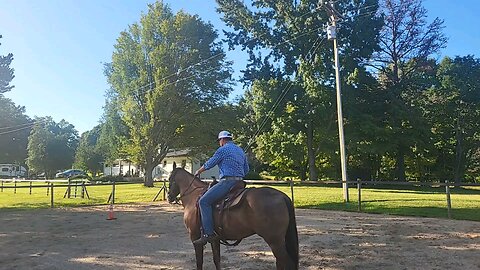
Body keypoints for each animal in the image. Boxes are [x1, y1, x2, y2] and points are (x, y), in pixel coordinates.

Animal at [167, 168, 298, 268]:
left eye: (170, 180)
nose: (169, 197)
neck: (194, 196)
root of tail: (282, 196)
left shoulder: (195, 237)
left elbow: (199, 262)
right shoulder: (214, 239)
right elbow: (217, 260)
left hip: (274, 241)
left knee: (285, 262)